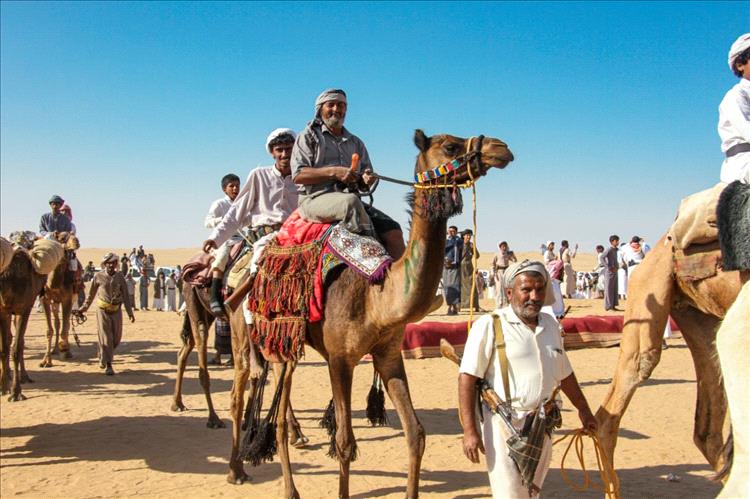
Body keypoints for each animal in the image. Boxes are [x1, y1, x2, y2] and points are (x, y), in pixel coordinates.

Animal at [0, 250, 48, 402]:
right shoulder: (3, 310)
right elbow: (3, 349)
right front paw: (3, 388)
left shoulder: (23, 309)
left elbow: (15, 349)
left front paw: (16, 393)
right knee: (11, 340)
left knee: (20, 342)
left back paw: (24, 377)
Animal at [39, 234, 79, 368]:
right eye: (62, 237)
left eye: (73, 234)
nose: (76, 241)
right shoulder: (44, 299)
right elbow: (49, 330)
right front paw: (46, 360)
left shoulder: (67, 299)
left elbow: (65, 330)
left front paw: (64, 348)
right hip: (55, 302)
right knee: (57, 322)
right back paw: (54, 349)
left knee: (65, 325)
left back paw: (66, 351)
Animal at [228, 130, 512, 499]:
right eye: (450, 146)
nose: (500, 148)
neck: (376, 296)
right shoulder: (340, 359)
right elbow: (344, 442)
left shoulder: (388, 353)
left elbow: (416, 433)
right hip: (256, 336)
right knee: (247, 398)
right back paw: (249, 474)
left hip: (283, 344)